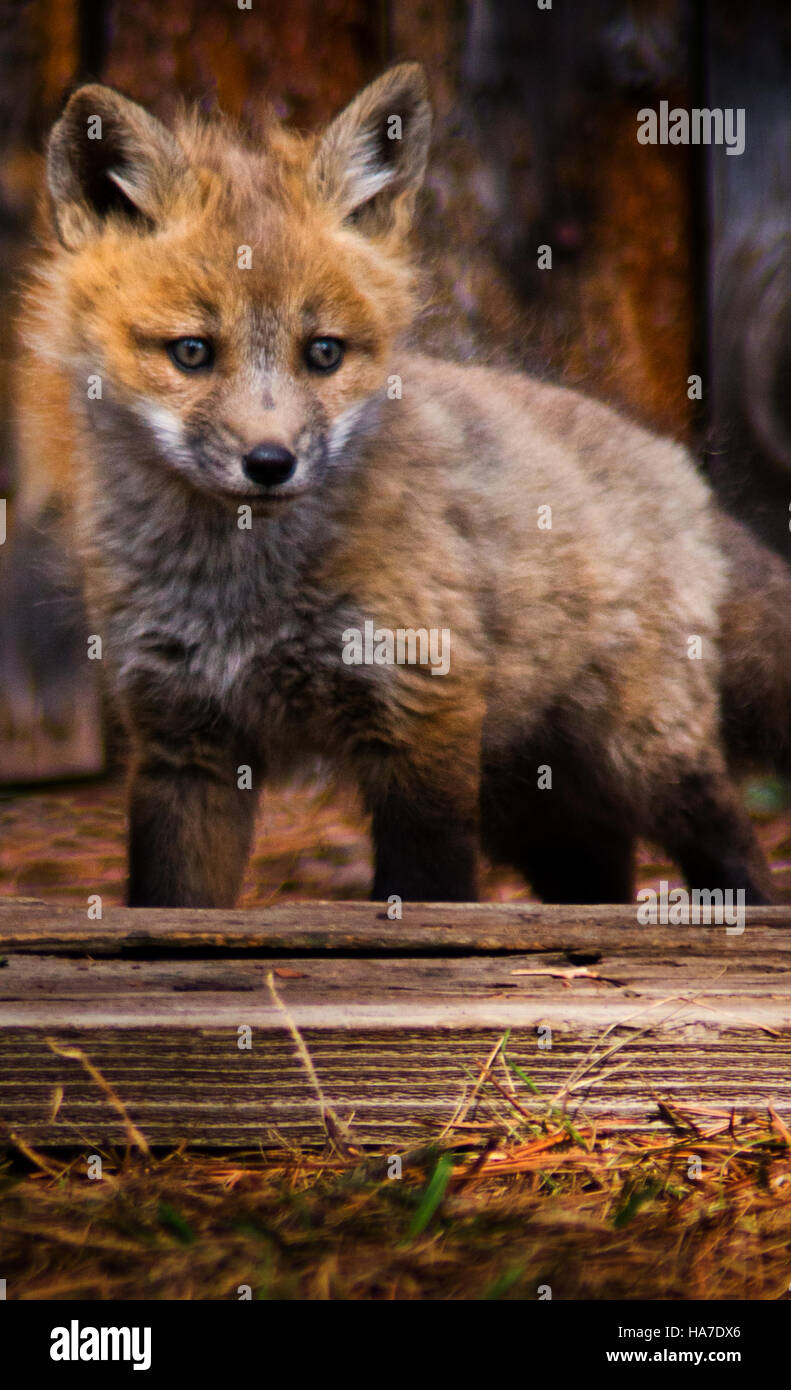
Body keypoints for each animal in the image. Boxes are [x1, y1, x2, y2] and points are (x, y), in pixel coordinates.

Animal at [12, 61, 791, 907]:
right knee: (596, 873)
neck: (242, 593)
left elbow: (427, 888)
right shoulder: (184, 740)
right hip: (529, 796)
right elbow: (172, 899)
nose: (270, 462)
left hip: (642, 753)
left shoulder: (421, 706)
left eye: (323, 352)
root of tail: (674, 464)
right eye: (191, 352)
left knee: (734, 850)